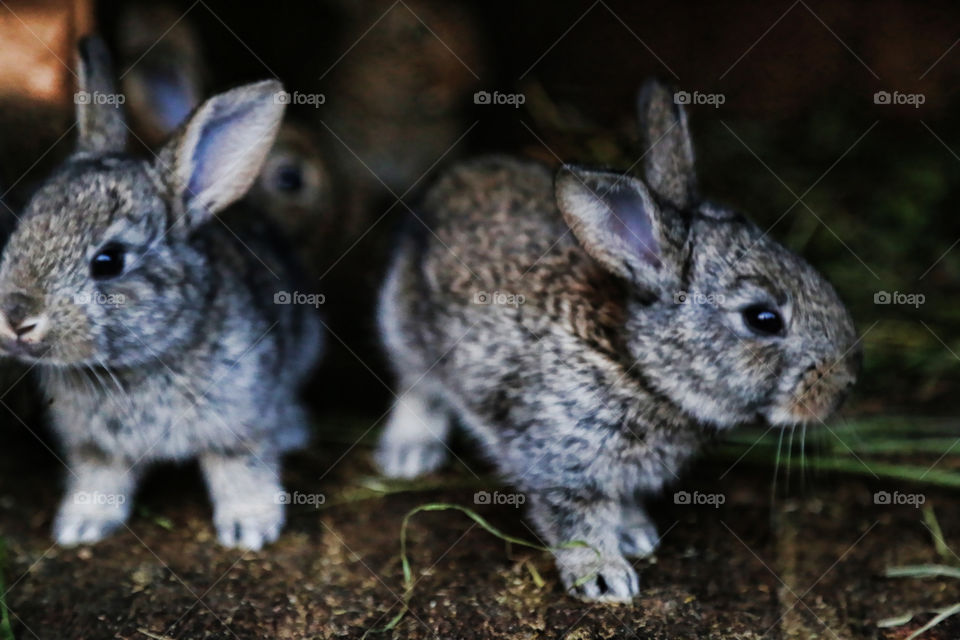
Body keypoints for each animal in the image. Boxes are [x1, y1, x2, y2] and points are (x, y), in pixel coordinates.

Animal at [0, 36, 322, 550]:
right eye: (21, 229)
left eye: (108, 261)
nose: (16, 318)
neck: (134, 363)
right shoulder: (95, 448)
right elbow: (101, 478)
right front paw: (80, 526)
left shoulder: (240, 424)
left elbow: (241, 470)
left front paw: (248, 528)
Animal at [374, 79, 860, 601]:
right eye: (763, 319)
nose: (845, 385)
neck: (638, 364)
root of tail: (452, 182)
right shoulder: (561, 461)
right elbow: (577, 522)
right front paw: (606, 577)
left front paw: (636, 534)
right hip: (404, 328)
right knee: (415, 386)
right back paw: (408, 455)